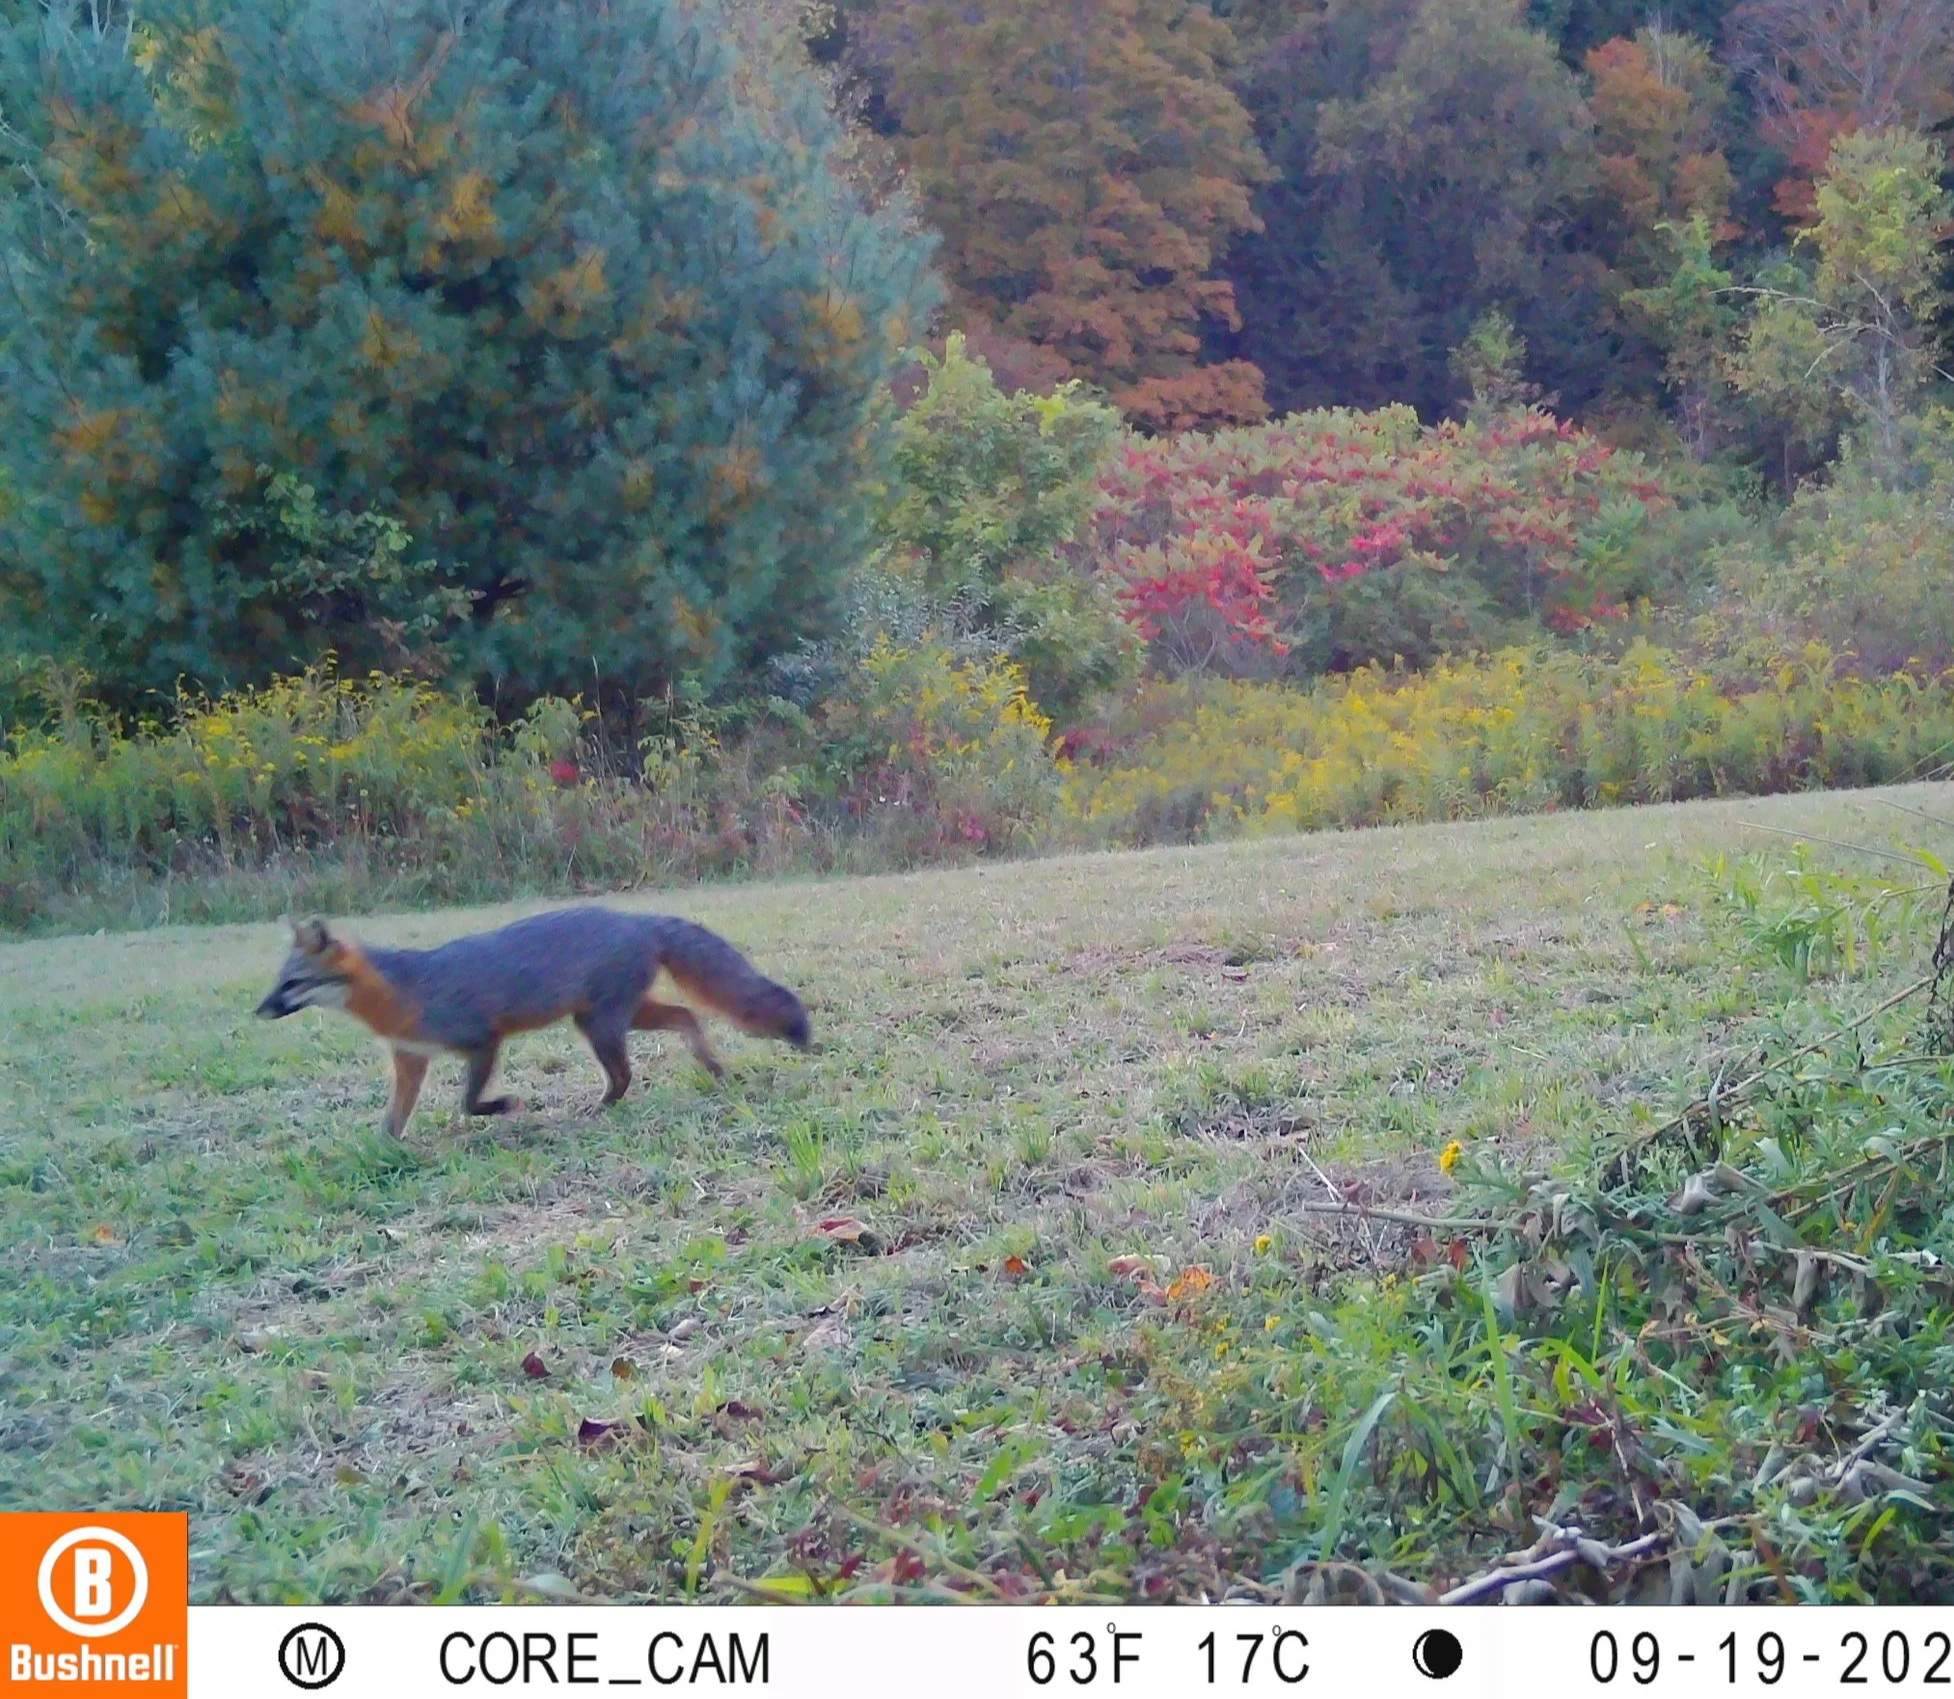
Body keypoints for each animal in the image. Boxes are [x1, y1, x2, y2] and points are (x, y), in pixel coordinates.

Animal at [255, 906, 811, 1139]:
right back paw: (712, 1068)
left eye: (292, 983)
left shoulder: (483, 1040)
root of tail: (637, 915)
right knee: (686, 1015)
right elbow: (392, 1122)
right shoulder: (411, 1060)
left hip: (598, 1025)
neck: (402, 990)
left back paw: (598, 1110)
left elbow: (469, 1102)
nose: (259, 1011)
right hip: (614, 1015)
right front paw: (381, 1154)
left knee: (626, 1074)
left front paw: (505, 1106)